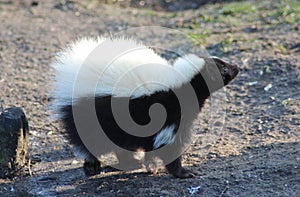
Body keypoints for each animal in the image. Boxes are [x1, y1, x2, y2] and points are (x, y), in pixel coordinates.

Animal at [51, 36, 239, 179]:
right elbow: (168, 145)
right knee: (88, 141)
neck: (181, 84)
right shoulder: (169, 116)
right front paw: (183, 172)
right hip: (90, 114)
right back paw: (92, 166)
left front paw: (151, 166)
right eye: (223, 68)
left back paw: (130, 162)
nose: (237, 67)